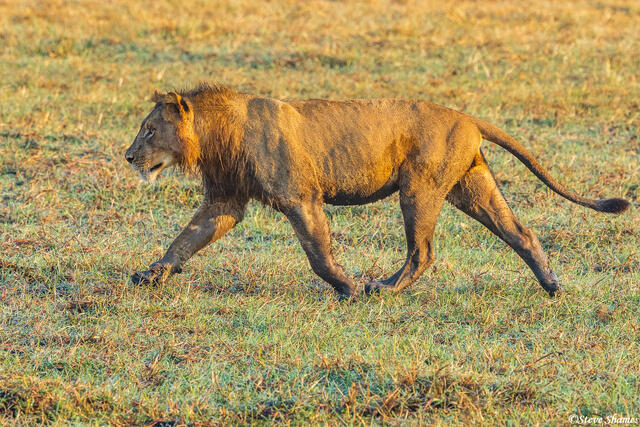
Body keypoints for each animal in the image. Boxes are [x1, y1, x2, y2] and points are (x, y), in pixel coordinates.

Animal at [124, 84, 629, 298]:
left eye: (149, 130)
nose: (128, 156)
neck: (216, 137)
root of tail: (466, 116)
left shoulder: (300, 198)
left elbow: (319, 255)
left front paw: (350, 289)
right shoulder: (225, 201)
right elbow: (184, 240)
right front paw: (150, 276)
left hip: (419, 187)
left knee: (422, 251)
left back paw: (383, 288)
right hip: (471, 186)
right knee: (520, 232)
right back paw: (552, 285)